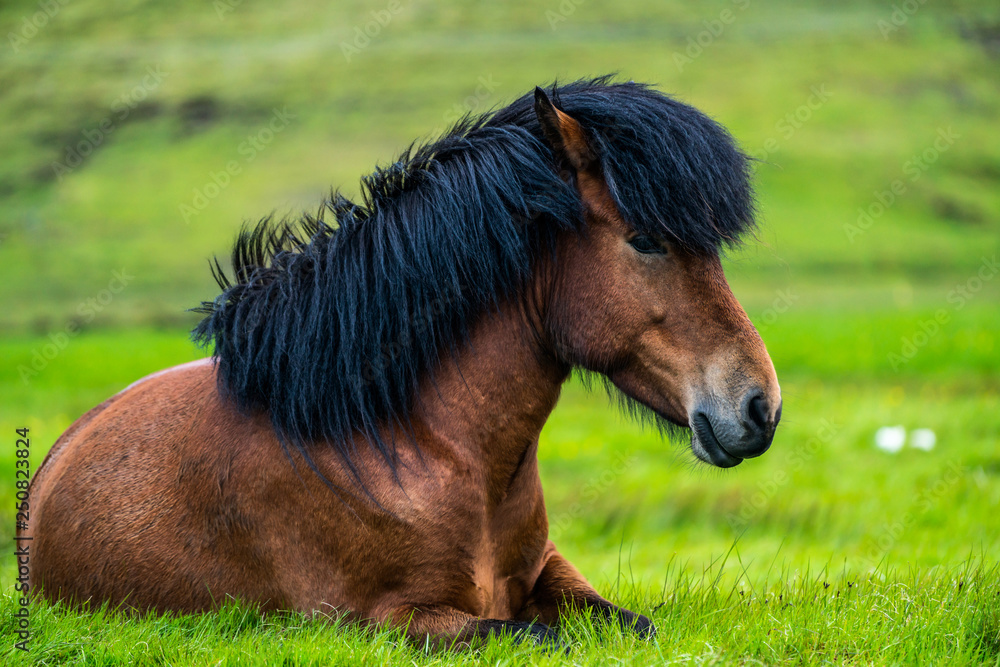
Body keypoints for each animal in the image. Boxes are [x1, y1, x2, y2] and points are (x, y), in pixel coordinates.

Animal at [25, 77, 780, 648]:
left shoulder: (551, 572)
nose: (759, 406)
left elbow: (632, 623)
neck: (419, 441)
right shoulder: (383, 619)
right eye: (645, 239)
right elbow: (535, 635)